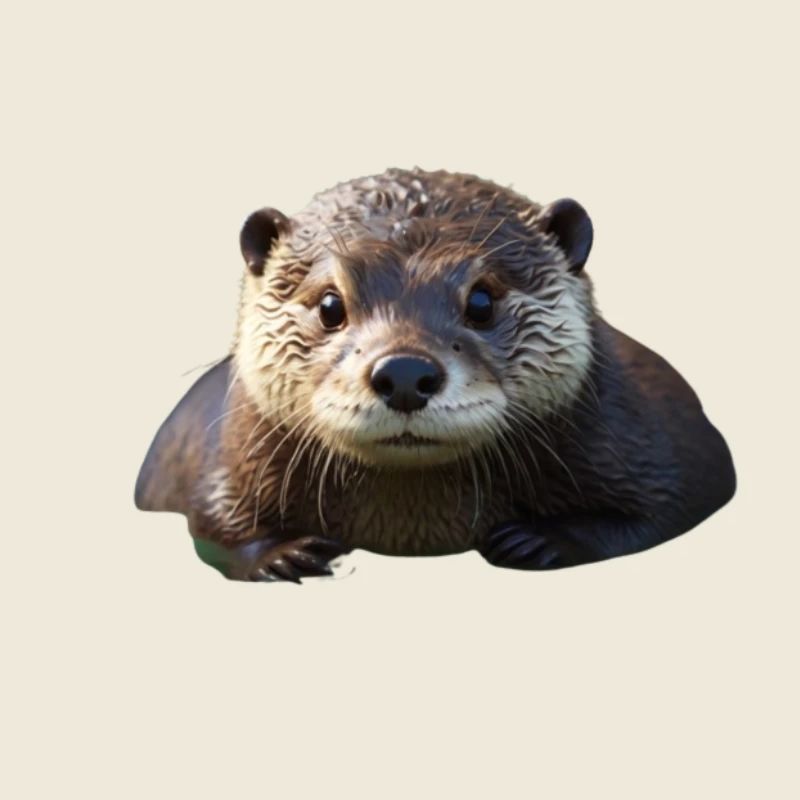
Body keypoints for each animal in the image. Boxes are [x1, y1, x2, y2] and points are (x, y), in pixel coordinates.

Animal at [134, 168, 736, 582]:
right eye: (330, 304)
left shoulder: (653, 439)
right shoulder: (225, 458)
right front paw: (284, 554)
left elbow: (675, 505)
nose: (404, 372)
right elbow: (211, 527)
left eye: (482, 301)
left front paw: (541, 541)